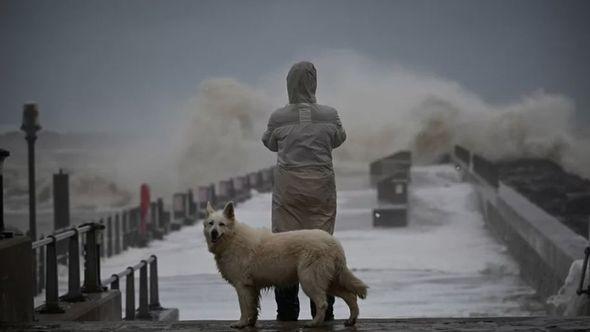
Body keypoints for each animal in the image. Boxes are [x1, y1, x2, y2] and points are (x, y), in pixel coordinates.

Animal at [206, 201, 368, 328]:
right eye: (210, 224)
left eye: (222, 224)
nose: (214, 233)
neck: (232, 239)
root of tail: (334, 243)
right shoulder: (252, 287)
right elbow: (253, 308)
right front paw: (251, 323)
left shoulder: (242, 286)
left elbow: (244, 308)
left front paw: (241, 323)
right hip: (329, 282)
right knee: (350, 296)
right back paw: (351, 320)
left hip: (309, 280)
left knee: (322, 303)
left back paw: (314, 323)